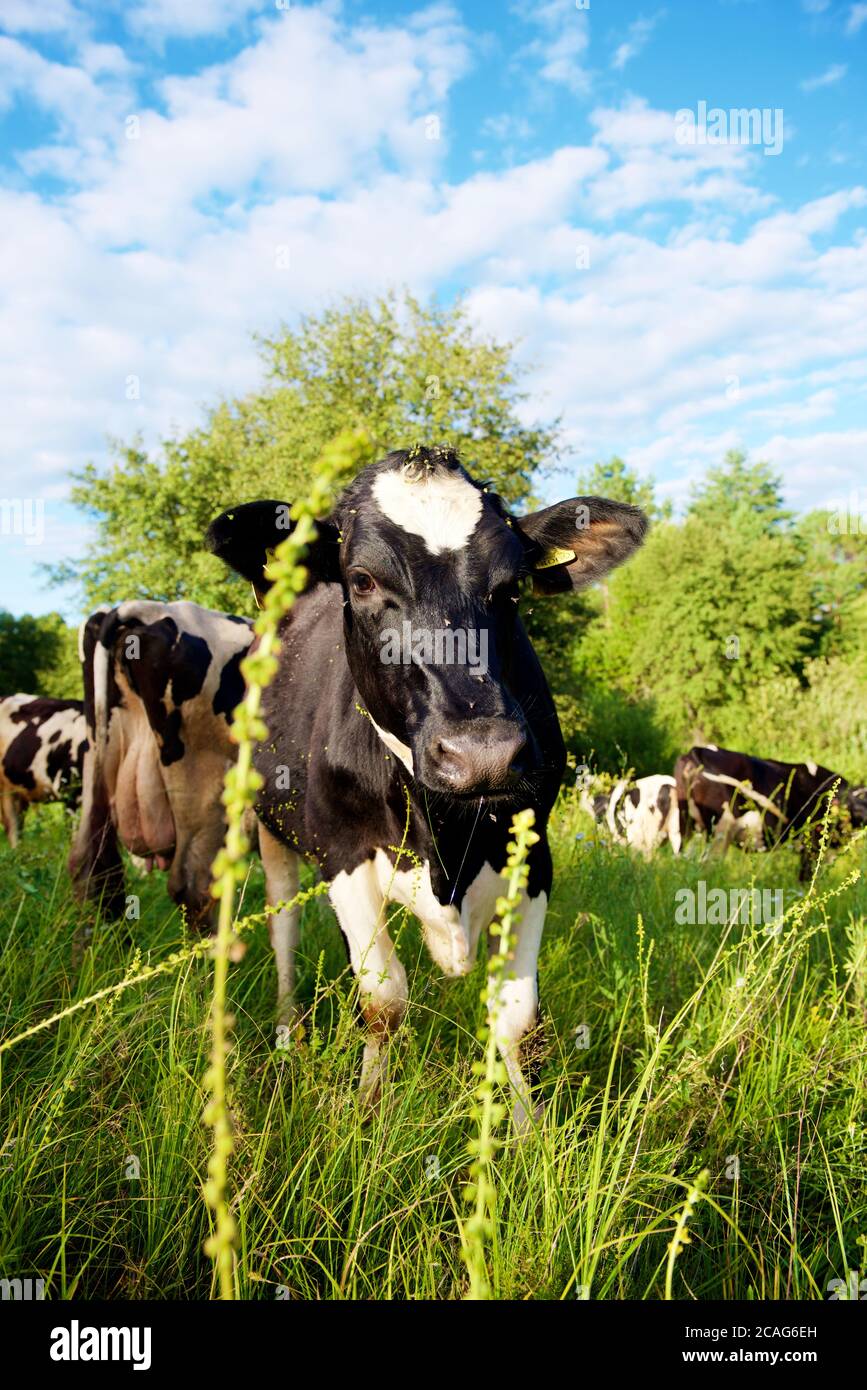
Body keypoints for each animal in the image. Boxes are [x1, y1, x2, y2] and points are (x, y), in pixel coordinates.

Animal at [206, 444, 648, 1129]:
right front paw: (369, 1113)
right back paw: (287, 1034)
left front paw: (527, 1134)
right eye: (362, 580)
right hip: (267, 827)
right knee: (284, 930)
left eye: (512, 586)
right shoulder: (343, 853)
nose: (482, 754)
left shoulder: (534, 854)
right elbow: (383, 1000)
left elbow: (517, 1020)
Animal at [674, 745, 867, 878]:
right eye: (856, 807)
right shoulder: (813, 847)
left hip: (687, 826)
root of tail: (696, 750)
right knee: (706, 867)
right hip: (720, 832)